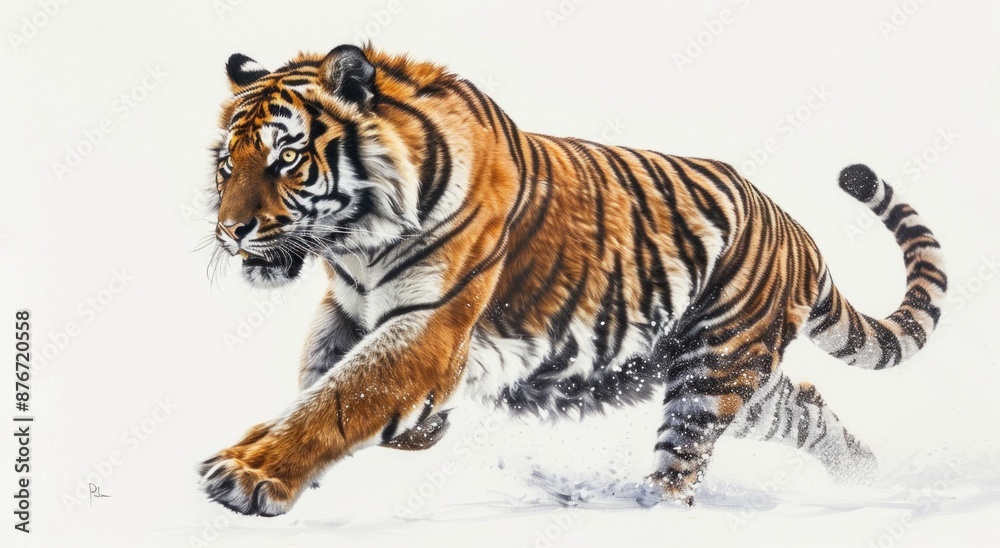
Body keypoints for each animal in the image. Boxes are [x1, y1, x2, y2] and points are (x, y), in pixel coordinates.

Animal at [198, 44, 947, 516]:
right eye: (227, 164)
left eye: (287, 158)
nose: (230, 231)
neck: (355, 245)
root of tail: (796, 231)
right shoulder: (348, 311)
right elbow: (315, 382)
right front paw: (420, 431)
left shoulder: (432, 324)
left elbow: (341, 397)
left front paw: (247, 476)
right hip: (718, 369)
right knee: (807, 407)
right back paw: (868, 474)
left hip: (713, 373)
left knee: (681, 469)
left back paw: (644, 512)